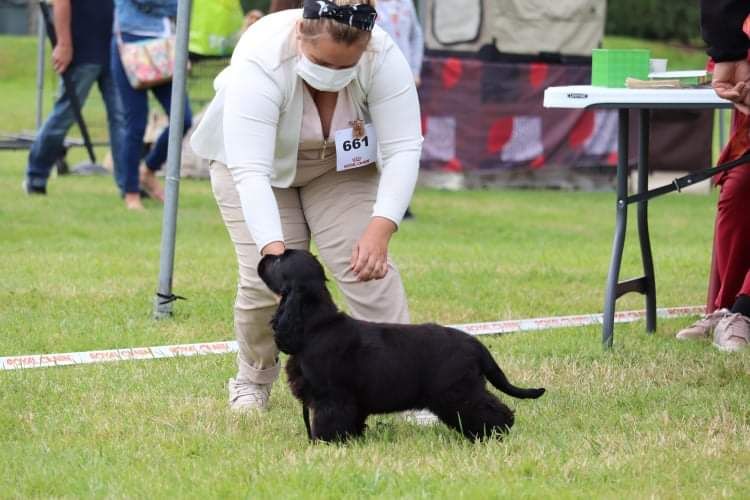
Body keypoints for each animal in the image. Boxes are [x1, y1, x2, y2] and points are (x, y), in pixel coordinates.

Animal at [258, 249, 548, 442]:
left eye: (280, 259)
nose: (264, 257)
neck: (315, 324)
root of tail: (475, 343)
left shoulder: (332, 395)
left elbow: (331, 421)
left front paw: (327, 444)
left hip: (457, 390)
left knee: (489, 409)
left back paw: (496, 433)